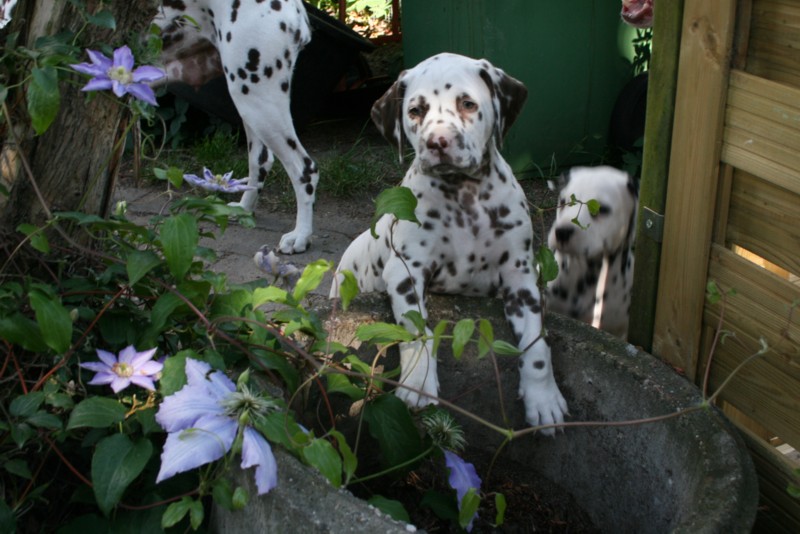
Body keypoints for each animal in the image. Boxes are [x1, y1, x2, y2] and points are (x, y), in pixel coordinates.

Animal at [153, 0, 318, 255]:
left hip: (256, 101)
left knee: (304, 168)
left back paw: (300, 235)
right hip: (250, 102)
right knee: (261, 160)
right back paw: (243, 209)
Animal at [332, 52, 568, 438]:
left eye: (468, 104)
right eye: (415, 111)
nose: (437, 142)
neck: (465, 197)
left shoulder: (521, 280)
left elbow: (537, 345)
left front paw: (544, 398)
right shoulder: (406, 272)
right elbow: (416, 329)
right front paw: (419, 382)